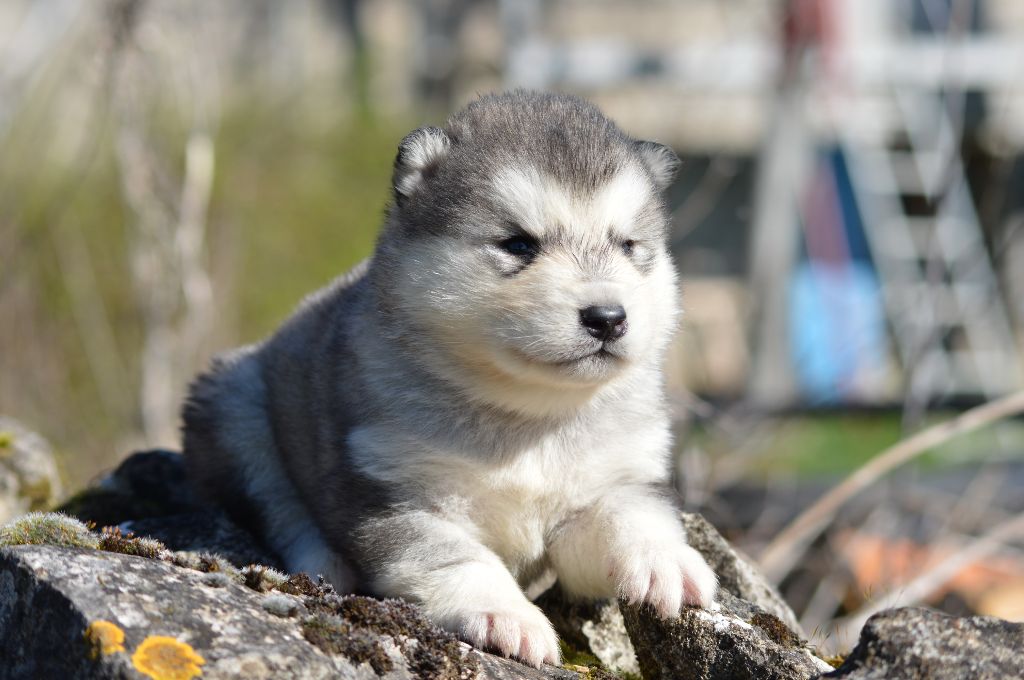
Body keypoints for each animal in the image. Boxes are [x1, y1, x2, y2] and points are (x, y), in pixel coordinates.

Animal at [183, 90, 716, 668]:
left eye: (628, 246)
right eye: (518, 245)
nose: (607, 318)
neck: (527, 417)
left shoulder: (617, 474)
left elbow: (627, 514)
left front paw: (662, 559)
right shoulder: (396, 494)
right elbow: (455, 557)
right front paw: (503, 613)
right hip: (236, 405)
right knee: (277, 504)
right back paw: (324, 561)